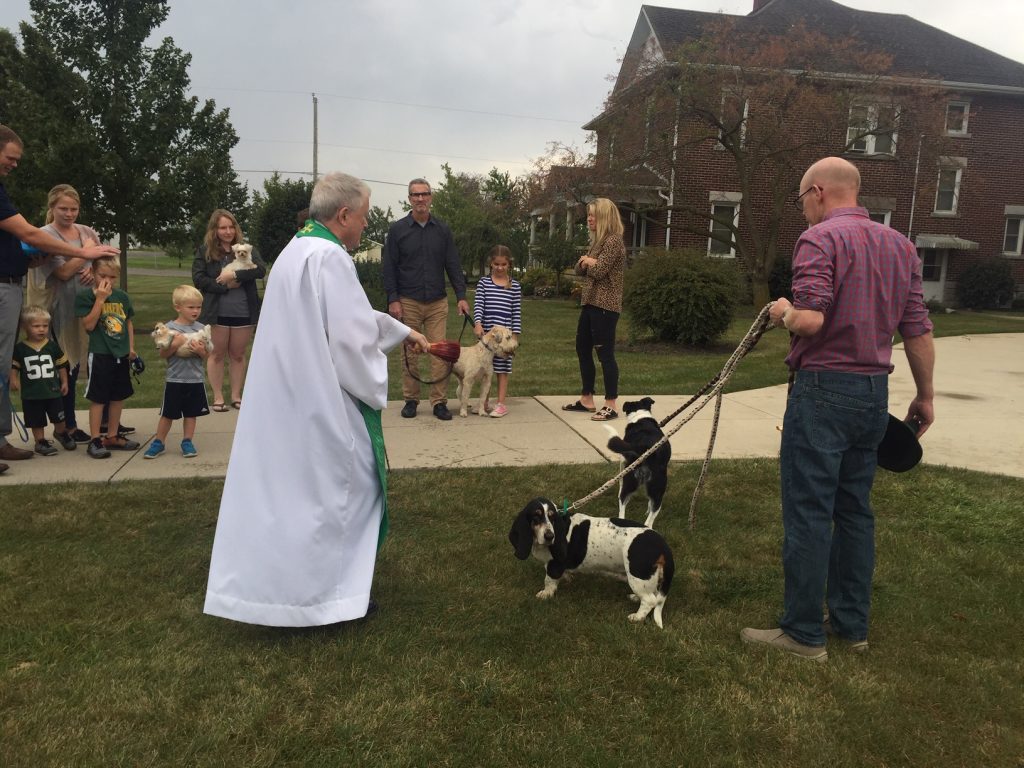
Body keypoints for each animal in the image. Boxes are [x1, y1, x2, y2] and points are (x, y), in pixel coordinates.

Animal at [509, 495, 671, 626]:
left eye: (552, 517)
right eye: (536, 517)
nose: (550, 536)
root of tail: (662, 544)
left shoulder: (554, 565)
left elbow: (549, 581)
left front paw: (545, 594)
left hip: (637, 576)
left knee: (650, 600)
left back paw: (636, 617)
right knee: (653, 594)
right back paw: (635, 598)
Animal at [598, 397, 671, 528]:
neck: (640, 415)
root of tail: (645, 448)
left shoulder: (623, 461)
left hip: (633, 478)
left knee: (623, 502)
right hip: (658, 486)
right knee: (651, 513)